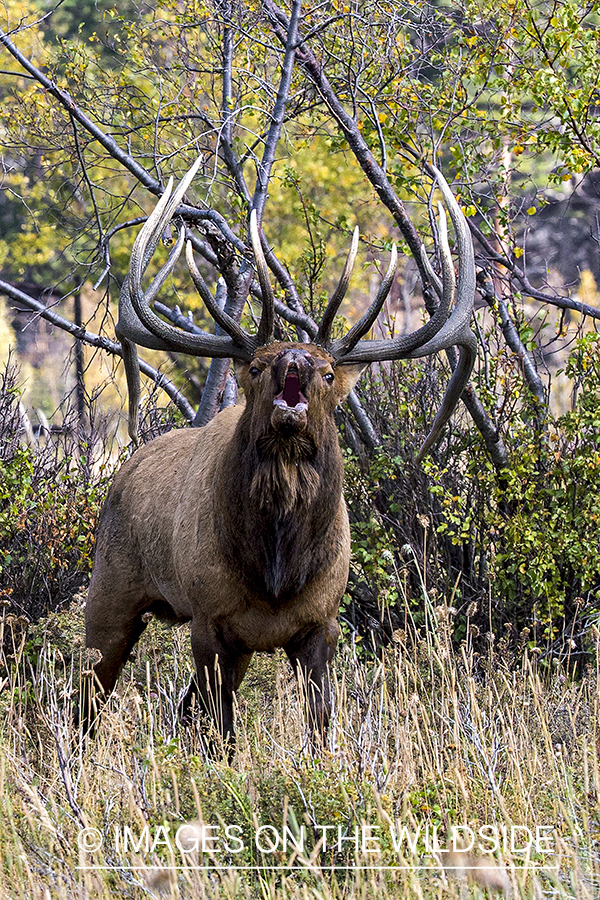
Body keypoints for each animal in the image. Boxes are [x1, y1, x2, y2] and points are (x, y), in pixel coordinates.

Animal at [82, 160, 476, 744]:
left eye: (330, 372)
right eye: (256, 365)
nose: (294, 357)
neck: (275, 570)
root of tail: (126, 463)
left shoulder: (321, 624)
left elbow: (320, 724)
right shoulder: (210, 621)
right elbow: (221, 733)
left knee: (177, 708)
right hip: (110, 588)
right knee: (85, 696)